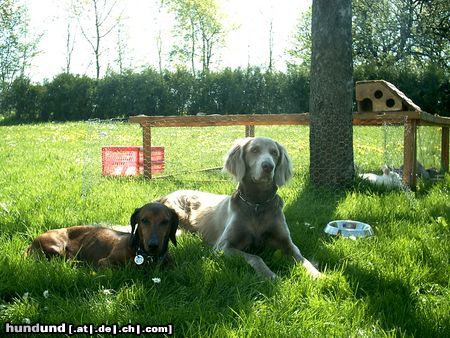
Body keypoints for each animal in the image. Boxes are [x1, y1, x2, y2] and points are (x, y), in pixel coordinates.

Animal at [26, 202, 179, 268]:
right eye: (144, 220)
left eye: (165, 221)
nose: (153, 245)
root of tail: (30, 245)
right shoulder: (105, 262)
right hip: (57, 247)